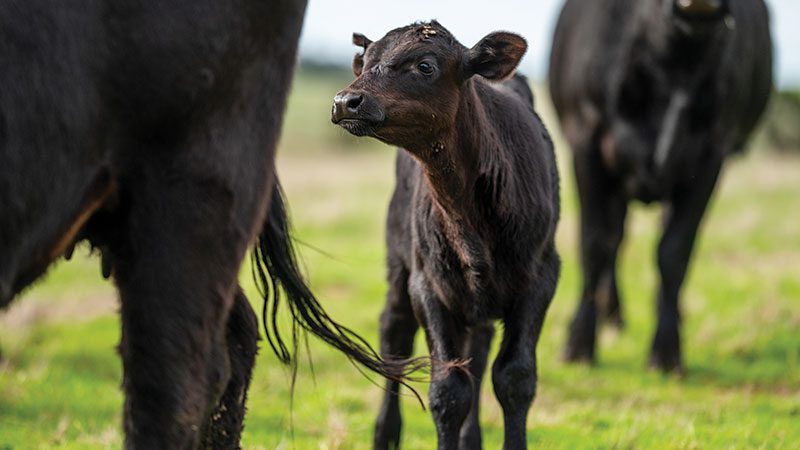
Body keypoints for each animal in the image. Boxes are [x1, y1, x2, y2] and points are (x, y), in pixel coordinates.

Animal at [330, 21, 556, 450]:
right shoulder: (427, 284)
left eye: (425, 66)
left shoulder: (541, 278)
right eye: (364, 62)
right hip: (398, 261)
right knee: (395, 334)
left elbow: (515, 378)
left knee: (479, 349)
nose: (346, 101)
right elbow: (448, 389)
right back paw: (385, 433)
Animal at [552, 0, 768, 372]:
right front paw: (578, 344)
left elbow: (674, 252)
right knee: (615, 238)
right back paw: (613, 314)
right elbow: (594, 244)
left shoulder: (711, 156)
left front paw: (667, 351)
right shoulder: (587, 141)